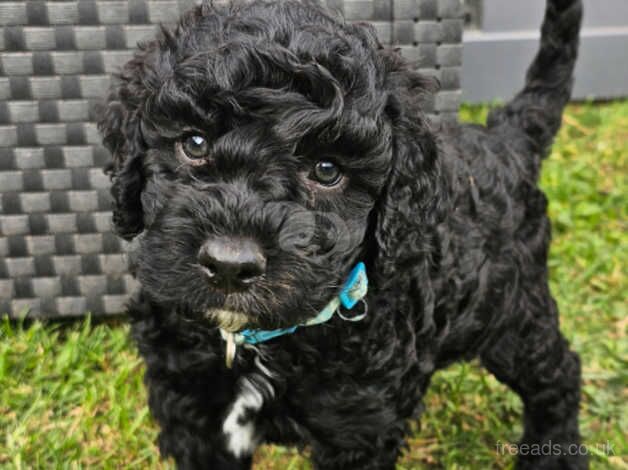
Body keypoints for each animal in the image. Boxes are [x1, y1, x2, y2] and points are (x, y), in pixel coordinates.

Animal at [97, 0, 584, 466]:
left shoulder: (360, 430)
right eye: (194, 143)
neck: (259, 344)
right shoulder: (192, 413)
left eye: (327, 170)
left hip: (514, 314)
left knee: (558, 373)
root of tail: (508, 141)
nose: (230, 266)